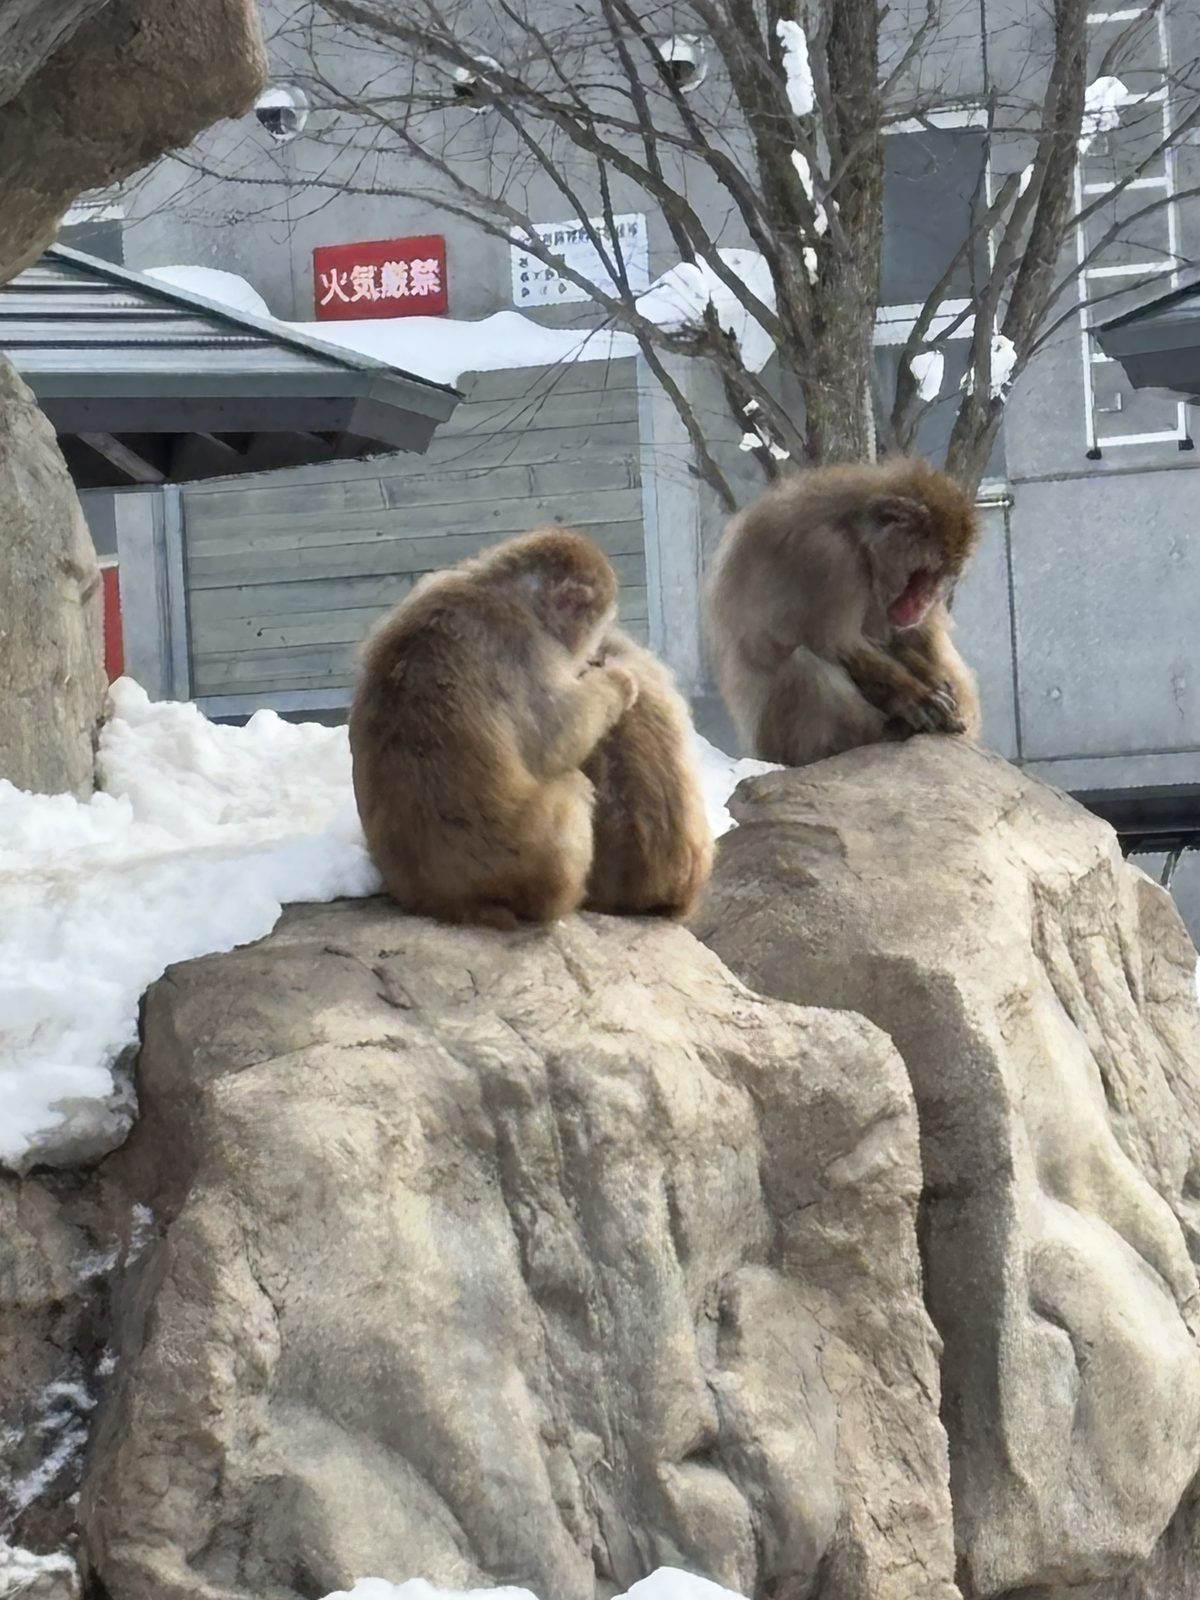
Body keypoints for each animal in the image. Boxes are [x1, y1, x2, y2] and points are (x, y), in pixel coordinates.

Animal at [348, 527, 639, 930]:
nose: (587, 651)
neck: (501, 588)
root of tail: (449, 902)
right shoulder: (527, 647)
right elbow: (556, 739)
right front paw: (618, 682)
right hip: (530, 863)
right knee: (572, 789)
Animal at [704, 456, 981, 768]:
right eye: (922, 575)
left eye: (939, 577)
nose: (926, 600)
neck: (857, 535)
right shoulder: (830, 560)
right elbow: (839, 644)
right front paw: (915, 697)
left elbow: (898, 639)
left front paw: (933, 682)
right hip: (779, 744)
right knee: (807, 665)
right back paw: (882, 733)